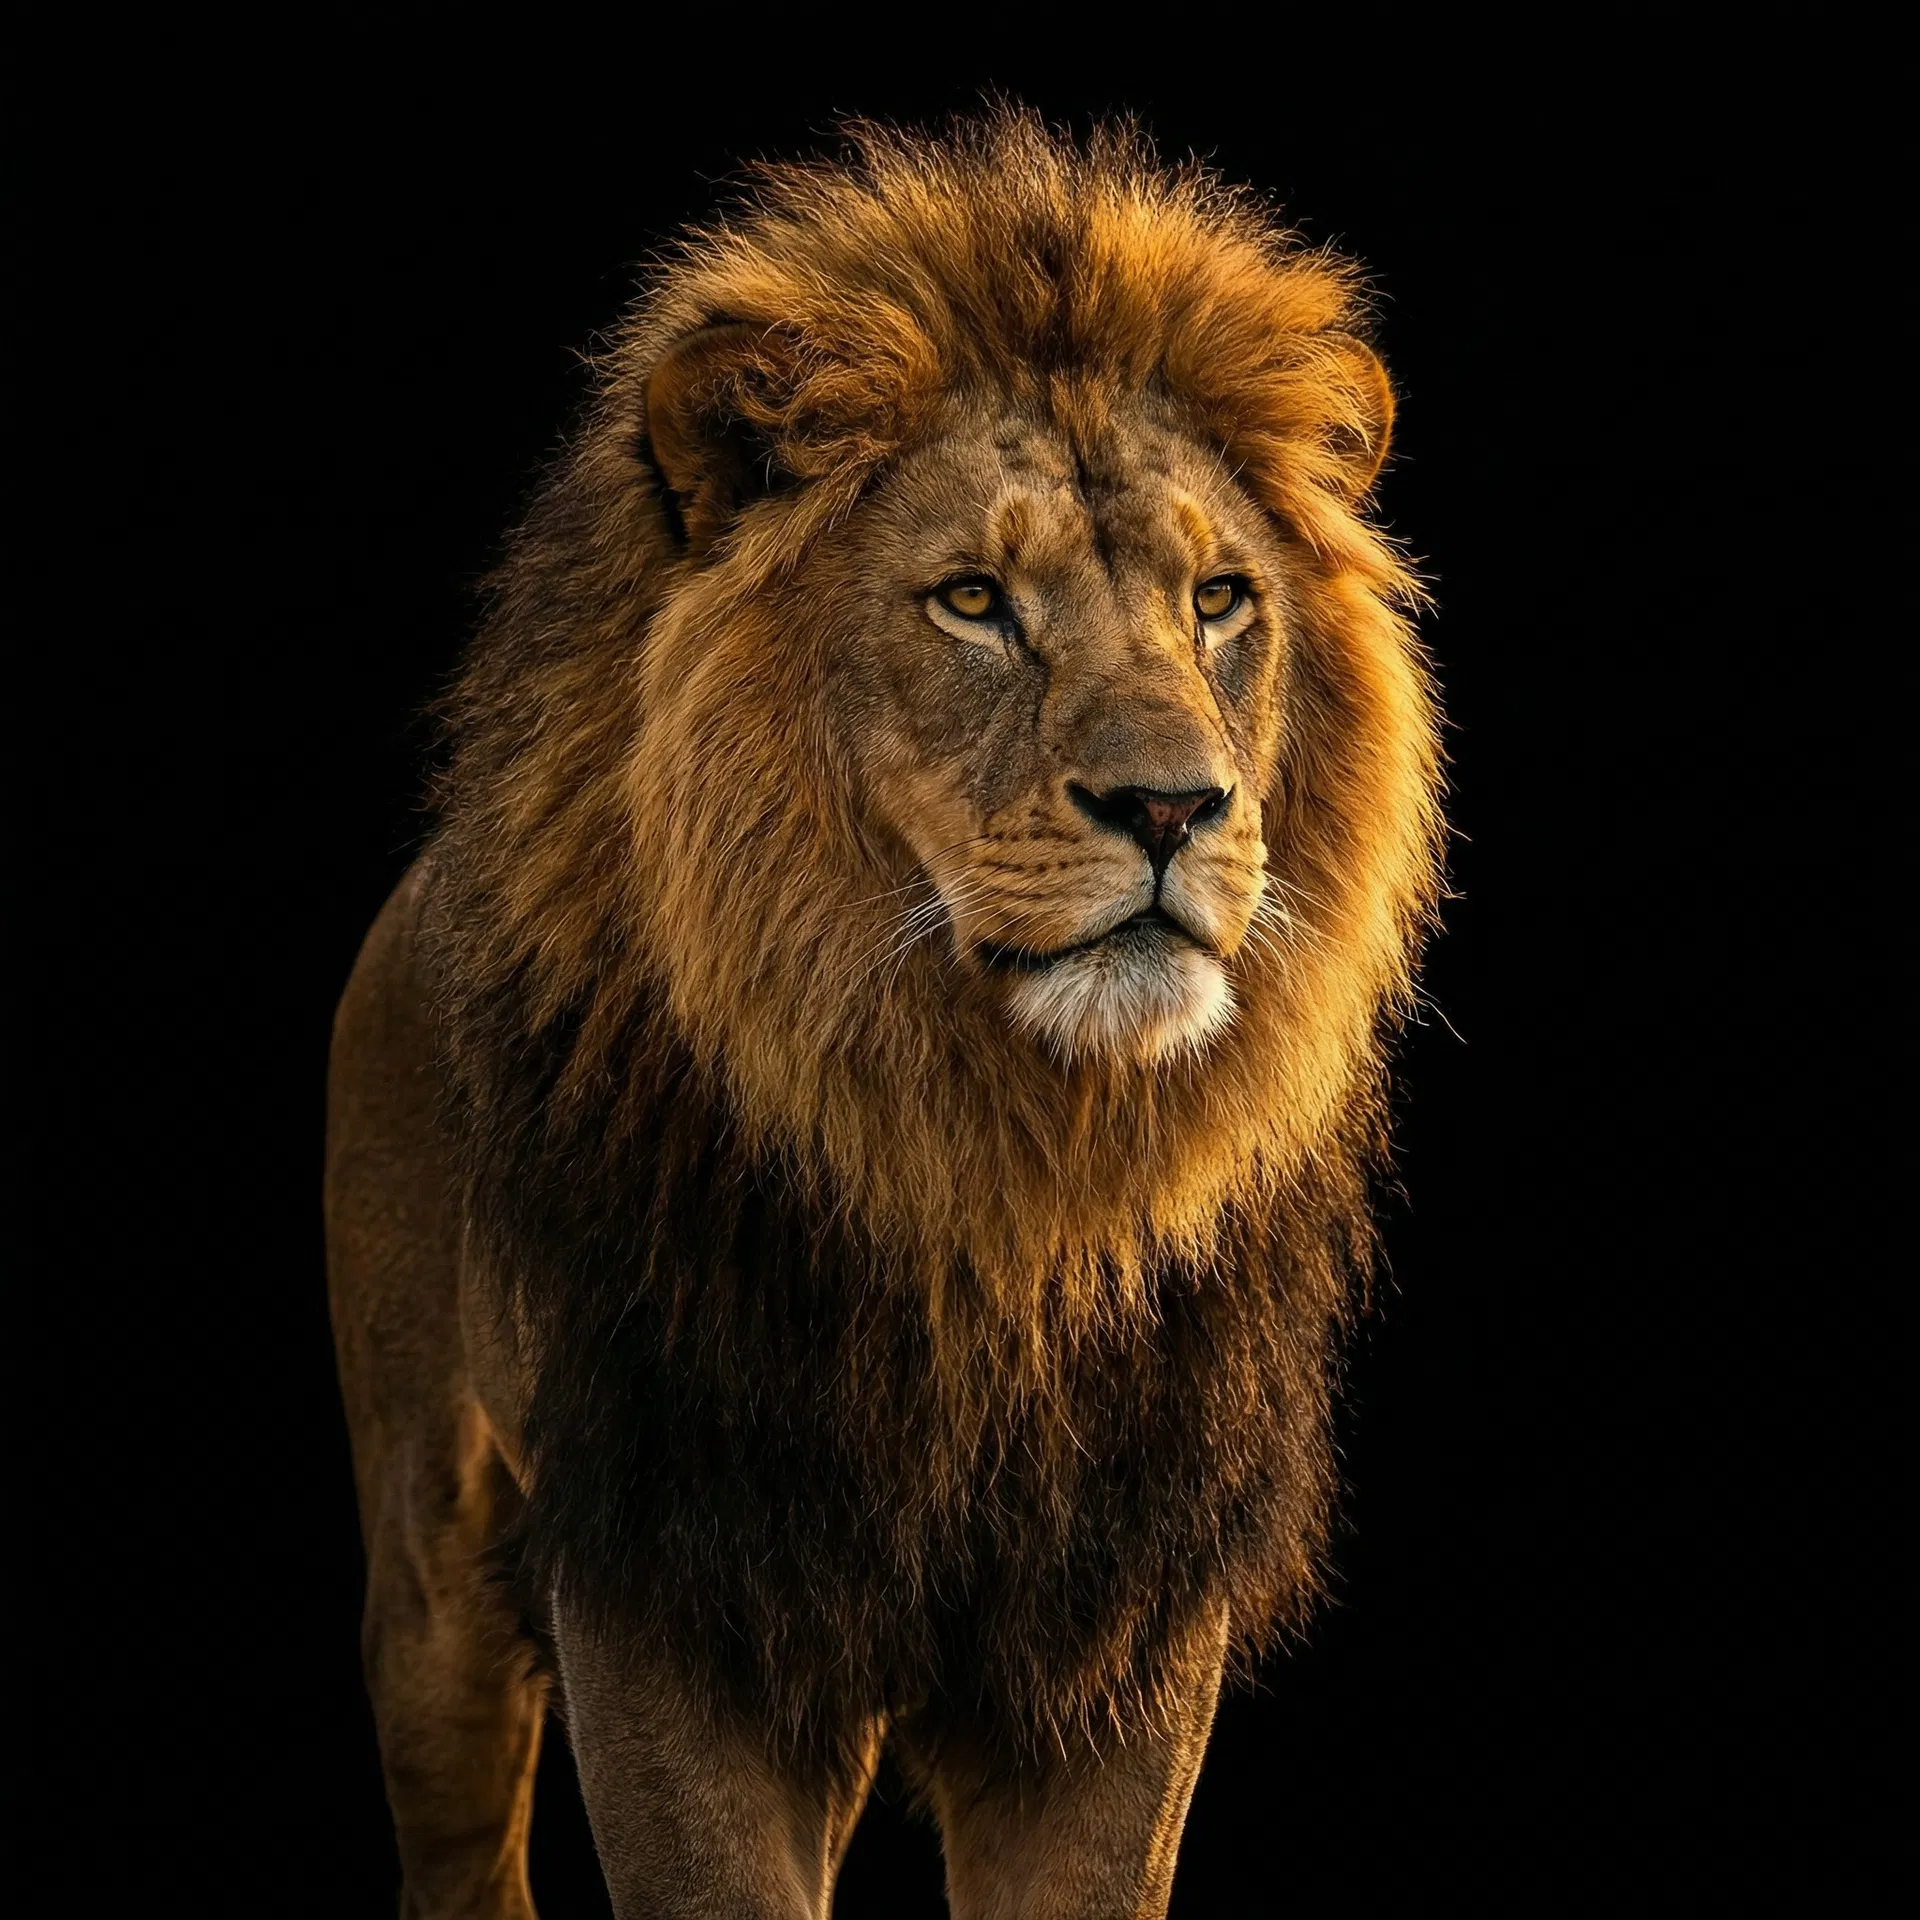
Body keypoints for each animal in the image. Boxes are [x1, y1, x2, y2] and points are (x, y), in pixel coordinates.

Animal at [326, 112, 1443, 1918]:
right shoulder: (668, 1587)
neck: (985, 1166)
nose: (1171, 806)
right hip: (431, 1564)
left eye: (1219, 600)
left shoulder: (1123, 1621)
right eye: (973, 600)